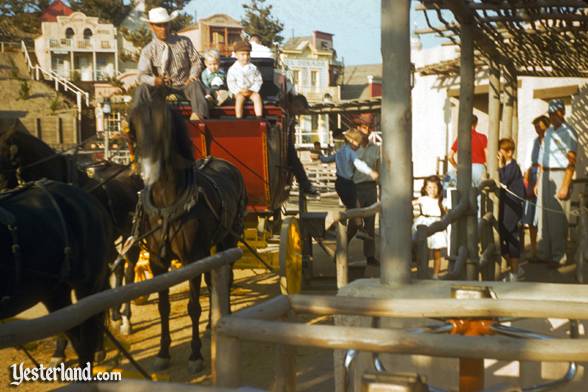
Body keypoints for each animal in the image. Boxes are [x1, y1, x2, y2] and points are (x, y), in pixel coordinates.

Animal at [127, 87, 247, 372]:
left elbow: (193, 306)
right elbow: (164, 306)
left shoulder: (193, 258)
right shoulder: (158, 262)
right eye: (133, 124)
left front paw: (195, 355)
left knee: (225, 278)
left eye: (164, 124)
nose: (147, 169)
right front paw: (162, 352)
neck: (168, 201)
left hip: (228, 239)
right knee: (214, 281)